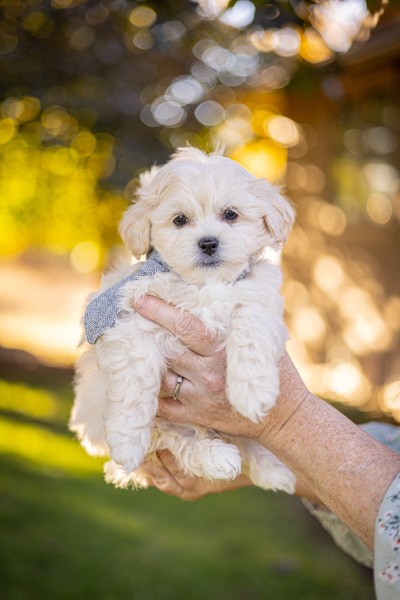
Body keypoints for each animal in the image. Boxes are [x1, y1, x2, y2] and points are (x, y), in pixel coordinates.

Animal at [69, 149, 296, 492]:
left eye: (231, 214)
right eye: (179, 220)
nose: (208, 243)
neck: (203, 284)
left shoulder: (259, 300)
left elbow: (250, 331)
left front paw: (252, 391)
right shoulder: (130, 320)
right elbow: (135, 384)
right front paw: (126, 442)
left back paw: (271, 466)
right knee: (172, 438)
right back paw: (215, 457)